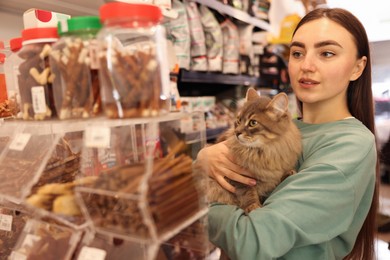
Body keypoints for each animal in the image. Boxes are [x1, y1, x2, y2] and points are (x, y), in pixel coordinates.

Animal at [198, 86, 302, 214]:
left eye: (253, 123)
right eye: (238, 120)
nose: (237, 132)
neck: (265, 151)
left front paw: (288, 173)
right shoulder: (239, 180)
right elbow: (247, 192)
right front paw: (252, 206)